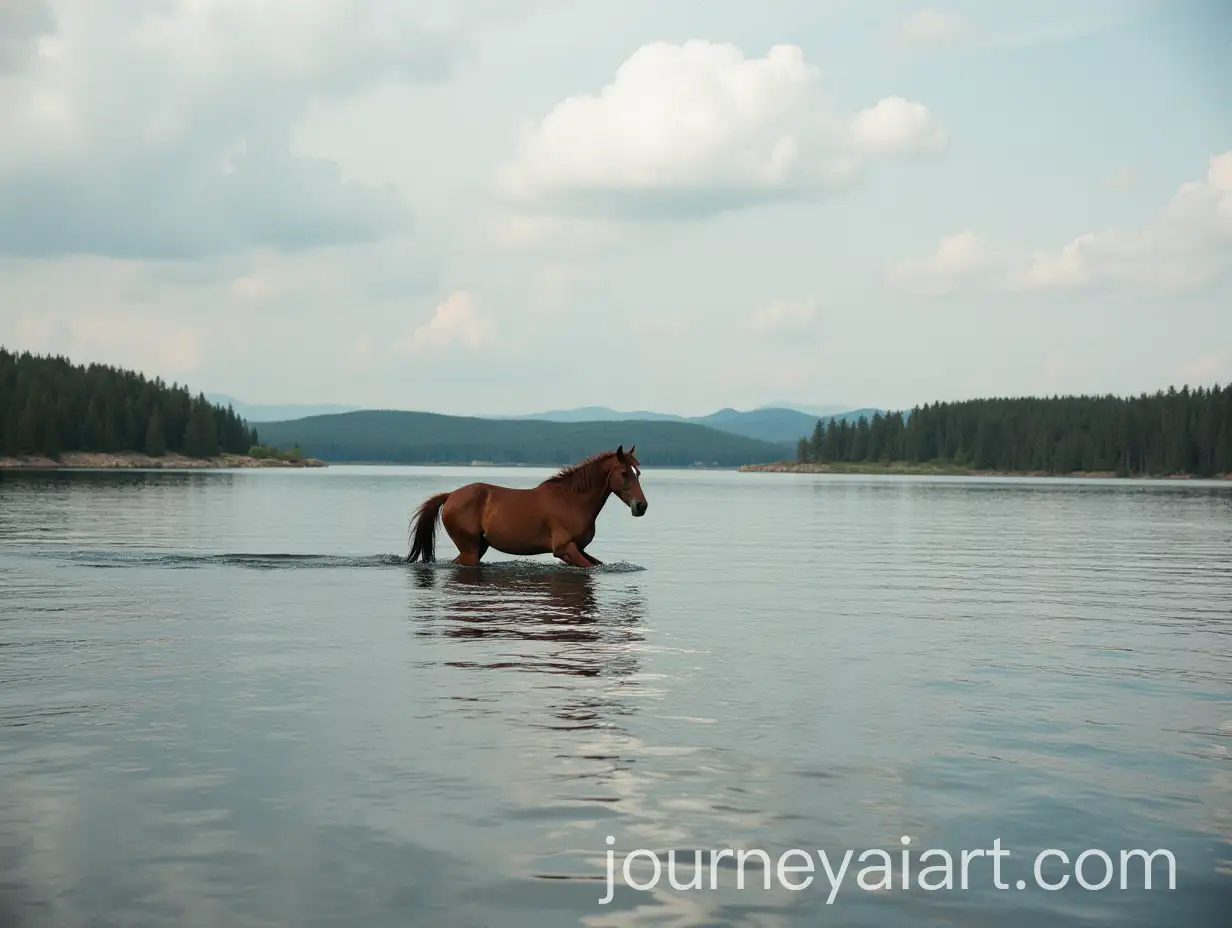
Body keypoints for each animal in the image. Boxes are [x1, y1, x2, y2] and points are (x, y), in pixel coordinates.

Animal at [405, 445, 648, 569]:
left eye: (638, 473)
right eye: (624, 473)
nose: (641, 506)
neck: (572, 502)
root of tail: (451, 496)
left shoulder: (579, 549)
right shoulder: (565, 549)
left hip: (478, 547)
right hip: (470, 549)